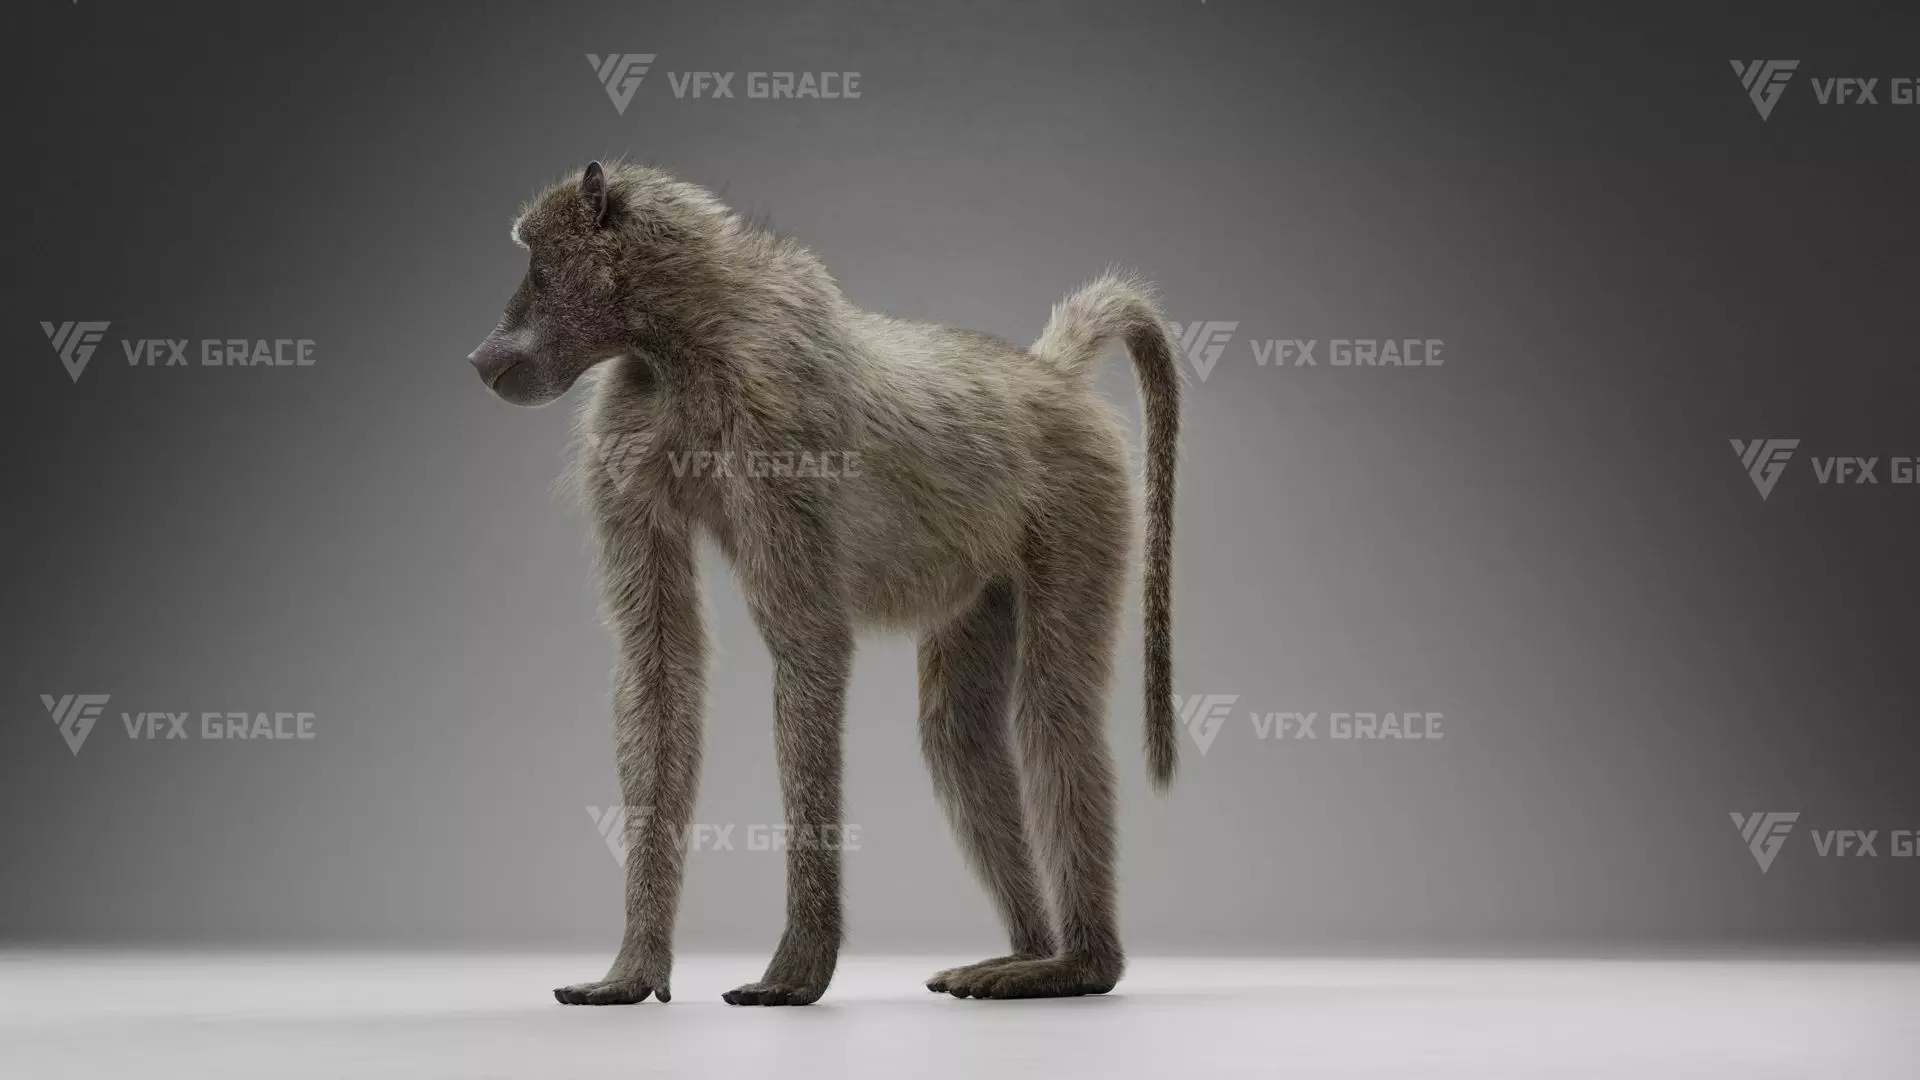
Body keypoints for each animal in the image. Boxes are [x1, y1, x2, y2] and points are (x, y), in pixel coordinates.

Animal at [467, 161, 1182, 1005]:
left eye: (533, 256)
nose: (480, 356)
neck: (690, 333)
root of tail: (1049, 375)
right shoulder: (623, 429)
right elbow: (660, 666)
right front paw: (633, 971)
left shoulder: (776, 421)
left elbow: (810, 642)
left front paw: (796, 972)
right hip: (988, 573)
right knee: (958, 734)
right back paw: (1028, 951)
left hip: (1083, 498)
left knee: (1053, 714)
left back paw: (1079, 967)